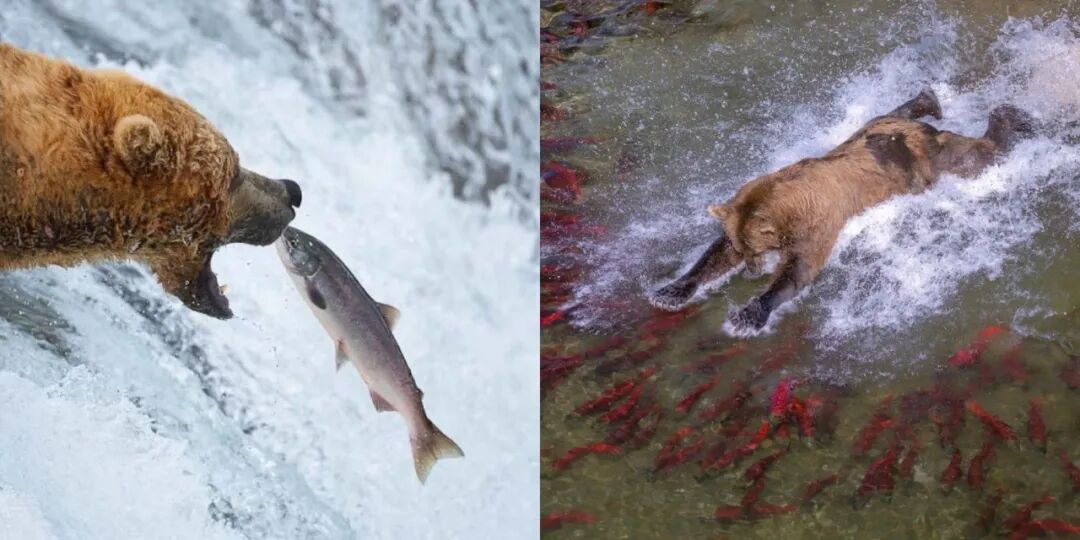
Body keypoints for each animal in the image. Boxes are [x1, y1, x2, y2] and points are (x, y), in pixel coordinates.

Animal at [651, 90, 1035, 331]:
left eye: (755, 250)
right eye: (743, 248)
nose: (750, 272)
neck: (788, 203)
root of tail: (920, 132)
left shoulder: (817, 223)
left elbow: (798, 270)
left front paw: (746, 316)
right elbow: (715, 256)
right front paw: (670, 292)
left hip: (933, 162)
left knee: (976, 155)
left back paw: (1015, 119)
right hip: (874, 129)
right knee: (893, 111)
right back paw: (930, 99)